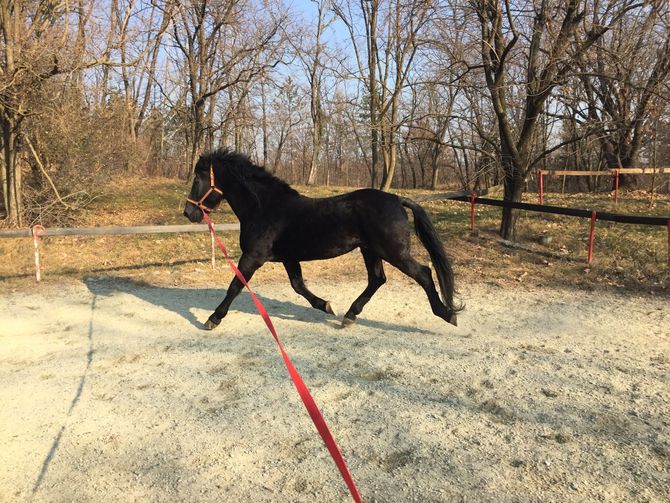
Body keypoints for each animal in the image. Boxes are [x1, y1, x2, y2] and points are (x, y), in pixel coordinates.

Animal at [183, 148, 462, 330]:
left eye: (197, 179)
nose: (188, 213)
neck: (264, 208)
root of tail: (396, 199)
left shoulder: (253, 257)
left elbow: (235, 285)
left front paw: (213, 319)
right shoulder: (288, 258)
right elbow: (298, 286)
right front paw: (326, 305)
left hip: (393, 251)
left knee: (423, 273)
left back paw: (447, 314)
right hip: (370, 250)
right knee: (377, 279)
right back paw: (349, 315)